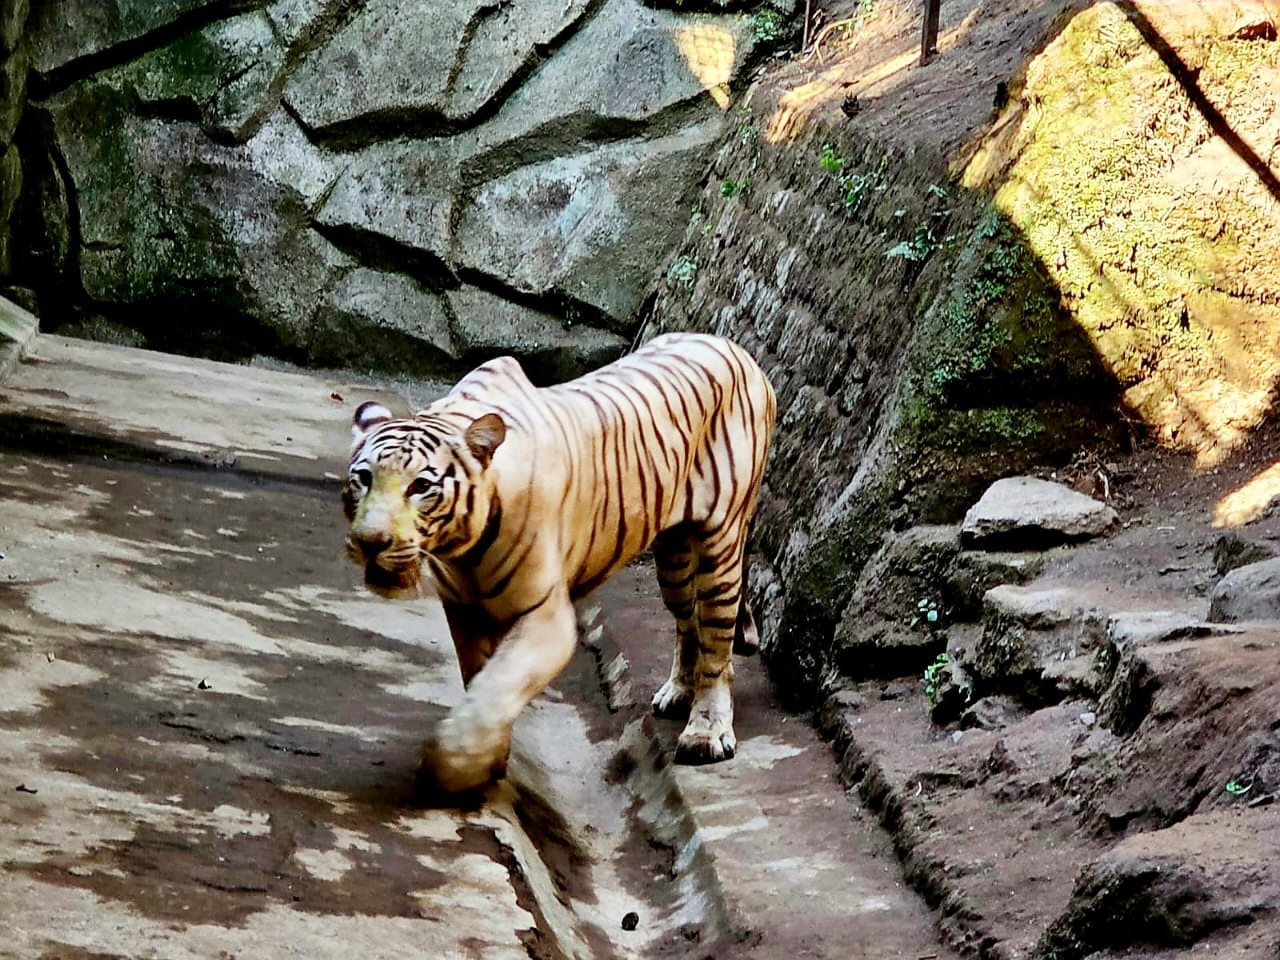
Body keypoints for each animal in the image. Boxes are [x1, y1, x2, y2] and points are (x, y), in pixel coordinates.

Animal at [345, 335, 773, 798]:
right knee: (687, 621)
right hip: (672, 557)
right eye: (364, 478)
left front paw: (454, 769)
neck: (461, 548)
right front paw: (487, 761)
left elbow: (497, 687)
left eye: (421, 486)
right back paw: (678, 692)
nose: (370, 542)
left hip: (721, 544)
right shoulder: (465, 611)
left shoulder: (545, 616)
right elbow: (479, 682)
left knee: (717, 640)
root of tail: (732, 346)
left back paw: (706, 734)